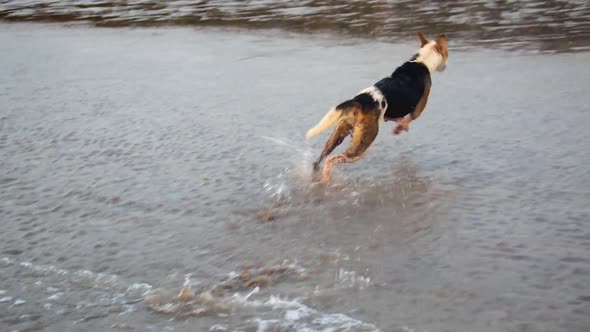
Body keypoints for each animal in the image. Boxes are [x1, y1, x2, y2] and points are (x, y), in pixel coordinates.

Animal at [306, 32, 448, 184]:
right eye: (447, 52)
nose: (445, 67)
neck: (421, 61)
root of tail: (361, 100)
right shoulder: (418, 109)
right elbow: (408, 119)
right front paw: (401, 128)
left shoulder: (389, 115)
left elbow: (396, 118)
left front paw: (399, 126)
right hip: (363, 145)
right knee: (331, 160)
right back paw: (325, 178)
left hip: (338, 134)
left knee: (319, 160)